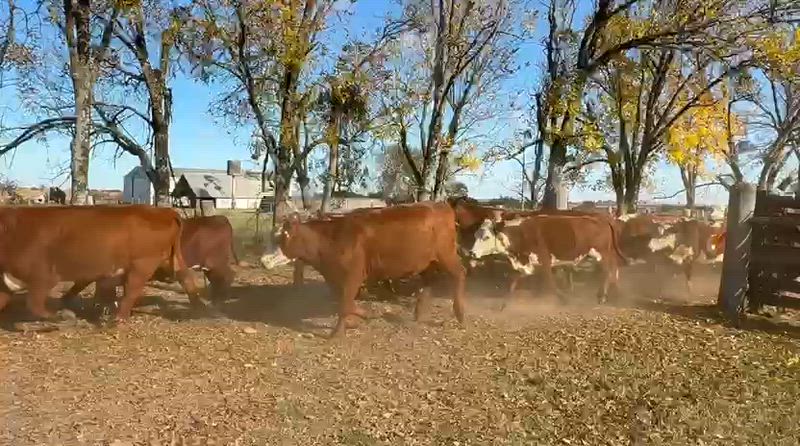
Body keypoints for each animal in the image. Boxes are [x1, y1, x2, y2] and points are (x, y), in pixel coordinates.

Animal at [0, 205, 204, 322]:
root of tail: (165, 211)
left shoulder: (43, 277)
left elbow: (34, 305)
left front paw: (63, 316)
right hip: (169, 260)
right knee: (186, 278)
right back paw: (197, 309)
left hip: (143, 264)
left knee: (133, 289)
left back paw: (118, 319)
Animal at [62, 215, 239, 309]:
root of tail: (220, 218)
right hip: (209, 266)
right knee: (218, 280)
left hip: (215, 262)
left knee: (229, 276)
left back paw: (219, 301)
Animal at [260, 202, 466, 338]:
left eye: (281, 238)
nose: (263, 261)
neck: (331, 239)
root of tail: (440, 204)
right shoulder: (335, 278)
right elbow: (345, 303)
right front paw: (356, 319)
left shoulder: (354, 275)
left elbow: (345, 304)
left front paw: (338, 333)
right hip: (426, 262)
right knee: (428, 282)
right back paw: (419, 314)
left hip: (446, 254)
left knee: (459, 274)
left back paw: (460, 314)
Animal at [465, 214, 627, 307]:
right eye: (475, 235)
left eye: (486, 237)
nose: (472, 253)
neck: (520, 234)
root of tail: (603, 219)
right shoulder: (526, 263)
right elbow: (513, 283)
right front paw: (503, 305)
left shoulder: (545, 261)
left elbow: (551, 284)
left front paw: (564, 300)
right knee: (612, 270)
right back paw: (611, 294)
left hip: (601, 253)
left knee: (609, 271)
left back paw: (607, 296)